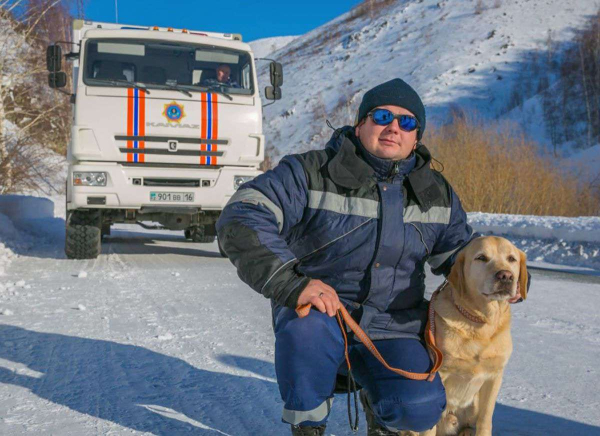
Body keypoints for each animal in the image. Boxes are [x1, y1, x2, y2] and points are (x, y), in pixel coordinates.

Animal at [408, 238, 524, 436]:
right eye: (481, 258)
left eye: (511, 259)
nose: (506, 276)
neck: (481, 323)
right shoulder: (440, 375)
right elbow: (429, 426)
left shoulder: (494, 376)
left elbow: (485, 419)